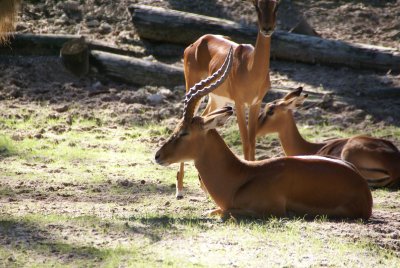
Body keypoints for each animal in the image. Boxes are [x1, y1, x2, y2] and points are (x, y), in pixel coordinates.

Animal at [155, 51, 374, 221]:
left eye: (184, 132)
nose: (157, 155)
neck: (240, 177)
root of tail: (363, 188)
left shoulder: (268, 210)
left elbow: (223, 212)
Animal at [177, 0, 280, 199]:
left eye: (276, 5)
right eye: (257, 6)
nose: (267, 28)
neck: (251, 68)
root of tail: (198, 41)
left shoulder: (256, 103)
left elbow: (252, 141)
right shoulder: (239, 104)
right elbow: (245, 142)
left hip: (217, 99)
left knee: (205, 116)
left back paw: (203, 187)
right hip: (192, 85)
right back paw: (179, 189)